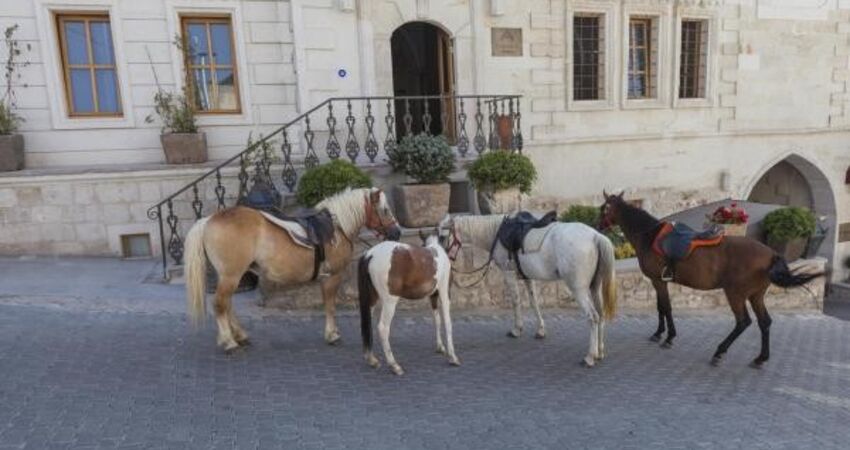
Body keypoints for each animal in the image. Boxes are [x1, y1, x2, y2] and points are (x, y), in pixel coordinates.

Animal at [183, 186, 400, 352]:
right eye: (385, 210)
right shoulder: (333, 275)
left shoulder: (326, 278)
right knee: (220, 304)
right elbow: (330, 305)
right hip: (231, 276)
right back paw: (229, 341)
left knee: (227, 304)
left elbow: (327, 304)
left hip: (231, 276)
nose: (396, 232)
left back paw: (240, 335)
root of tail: (208, 220)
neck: (337, 227)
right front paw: (332, 334)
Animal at [356, 230, 460, 374]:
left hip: (371, 299)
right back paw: (394, 365)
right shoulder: (444, 292)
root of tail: (369, 255)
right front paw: (452, 356)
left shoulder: (433, 296)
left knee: (367, 323)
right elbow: (447, 322)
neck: (437, 250)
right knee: (383, 328)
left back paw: (372, 359)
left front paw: (440, 347)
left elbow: (437, 320)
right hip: (390, 301)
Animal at [438, 214, 616, 366]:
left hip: (579, 289)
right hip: (594, 287)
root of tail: (595, 236)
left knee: (593, 317)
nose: (443, 259)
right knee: (600, 314)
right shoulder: (528, 277)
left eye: (442, 236)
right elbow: (534, 301)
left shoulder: (509, 274)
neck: (497, 232)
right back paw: (599, 352)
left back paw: (590, 357)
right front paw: (541, 330)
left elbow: (516, 301)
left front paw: (517, 329)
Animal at [596, 192, 820, 368]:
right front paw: (659, 333)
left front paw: (669, 337)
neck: (650, 236)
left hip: (735, 294)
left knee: (743, 322)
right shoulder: (658, 281)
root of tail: (771, 254)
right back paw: (760, 358)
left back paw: (719, 352)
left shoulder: (658, 281)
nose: (598, 226)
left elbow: (666, 308)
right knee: (764, 322)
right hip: (756, 295)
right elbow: (661, 307)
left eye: (603, 209)